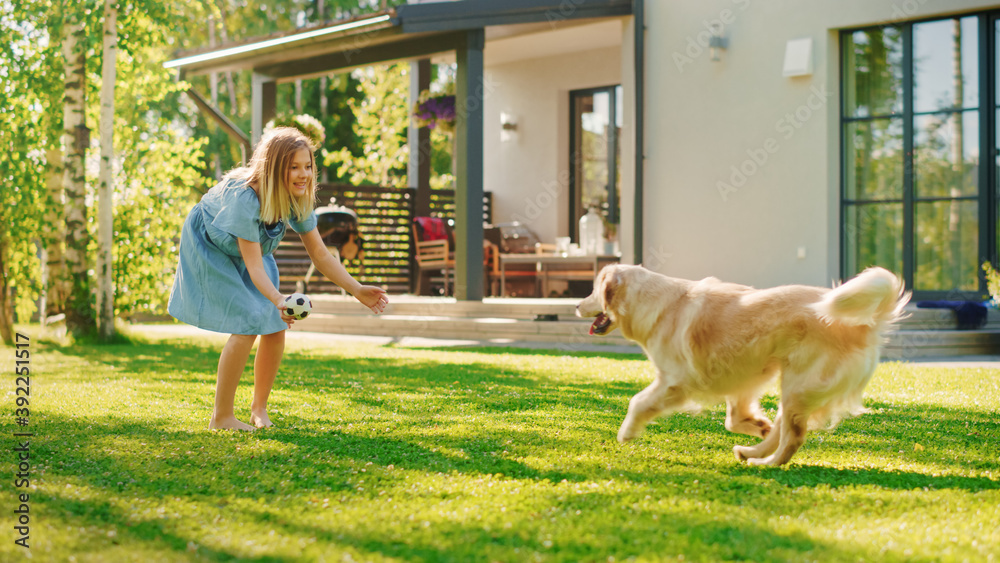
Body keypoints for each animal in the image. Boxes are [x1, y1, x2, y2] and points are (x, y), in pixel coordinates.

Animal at [576, 264, 912, 468]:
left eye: (593, 290)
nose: (576, 304)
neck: (655, 302)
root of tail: (866, 324)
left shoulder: (675, 380)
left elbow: (637, 402)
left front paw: (627, 432)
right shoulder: (742, 375)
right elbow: (734, 419)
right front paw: (757, 425)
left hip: (799, 385)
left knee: (794, 438)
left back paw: (765, 464)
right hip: (793, 387)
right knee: (782, 431)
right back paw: (752, 451)